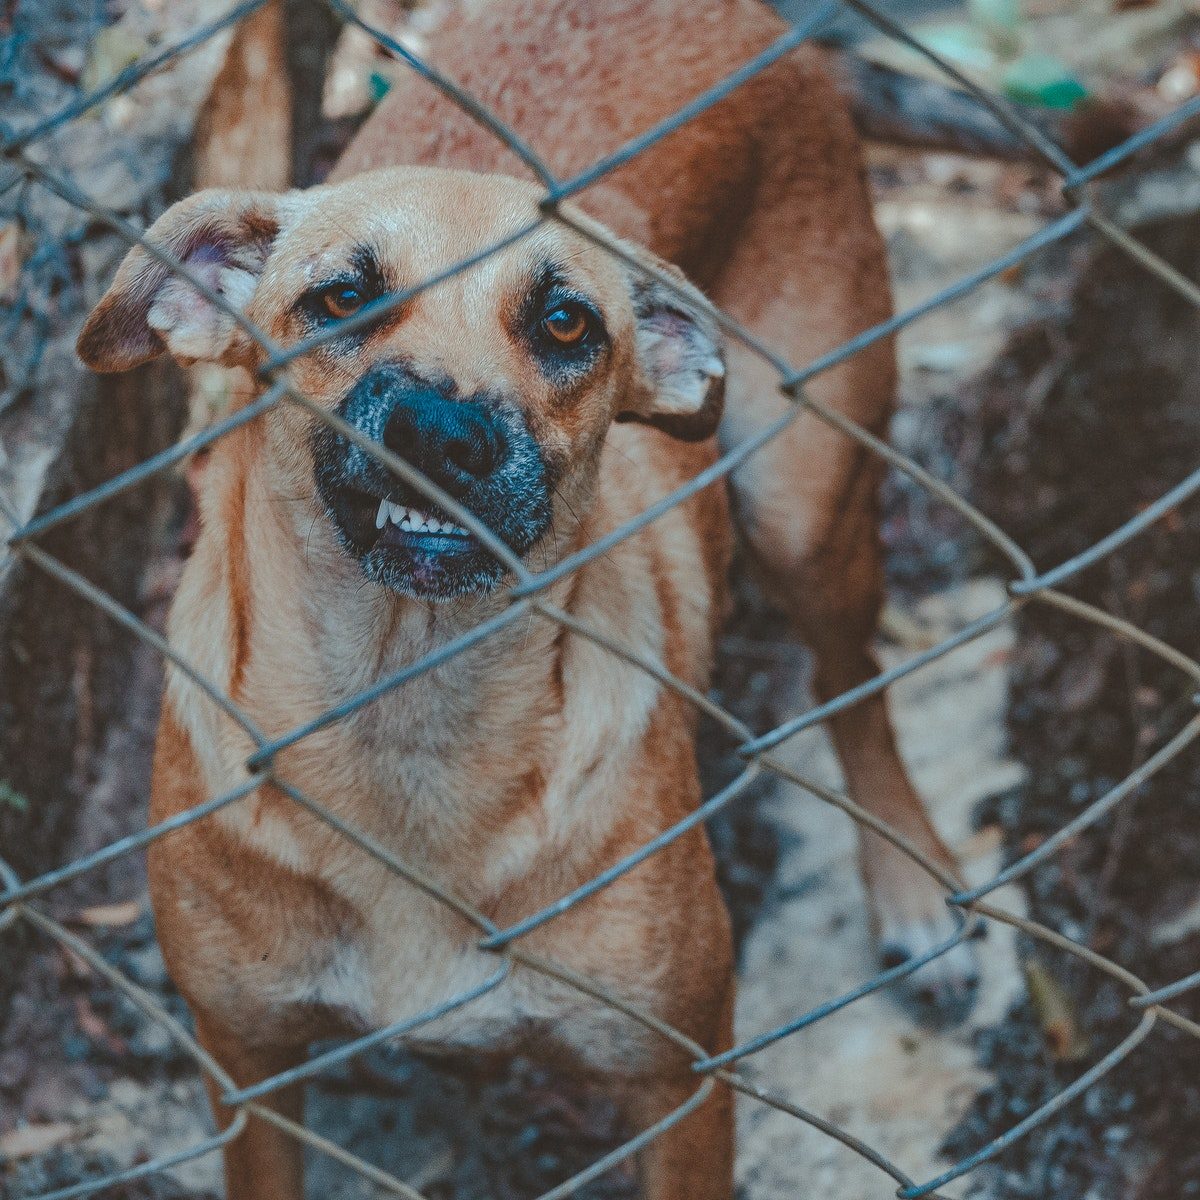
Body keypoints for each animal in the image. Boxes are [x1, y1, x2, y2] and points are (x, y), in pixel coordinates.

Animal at [77, 2, 974, 1200]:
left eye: (564, 323)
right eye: (342, 297)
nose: (443, 433)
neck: (408, 717)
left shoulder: (681, 1079)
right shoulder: (248, 1070)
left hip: (806, 498)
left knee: (856, 683)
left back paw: (911, 885)